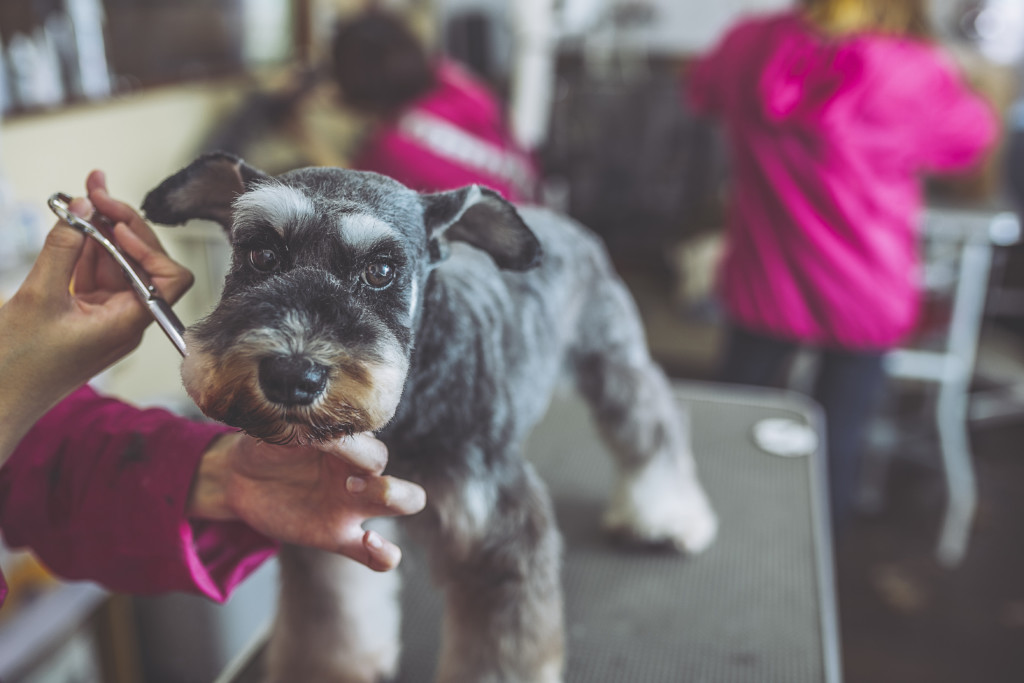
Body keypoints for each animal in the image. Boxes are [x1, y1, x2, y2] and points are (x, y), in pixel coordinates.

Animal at [142, 153, 720, 683]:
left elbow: (500, 655)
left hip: (614, 363)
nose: (291, 375)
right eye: (261, 254)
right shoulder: (329, 529)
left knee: (652, 424)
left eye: (381, 270)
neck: (410, 409)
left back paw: (666, 516)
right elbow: (330, 625)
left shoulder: (499, 538)